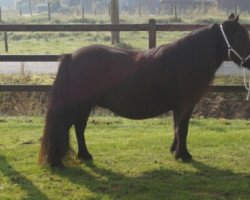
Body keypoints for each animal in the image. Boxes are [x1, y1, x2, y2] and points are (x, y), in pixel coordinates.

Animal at [38, 14, 250, 167]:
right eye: (243, 37)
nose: (249, 62)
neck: (187, 60)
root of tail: (71, 56)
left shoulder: (179, 106)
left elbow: (176, 128)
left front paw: (175, 151)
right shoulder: (185, 105)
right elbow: (182, 129)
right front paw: (184, 155)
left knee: (77, 129)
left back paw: (84, 156)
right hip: (80, 106)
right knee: (69, 128)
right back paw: (59, 161)